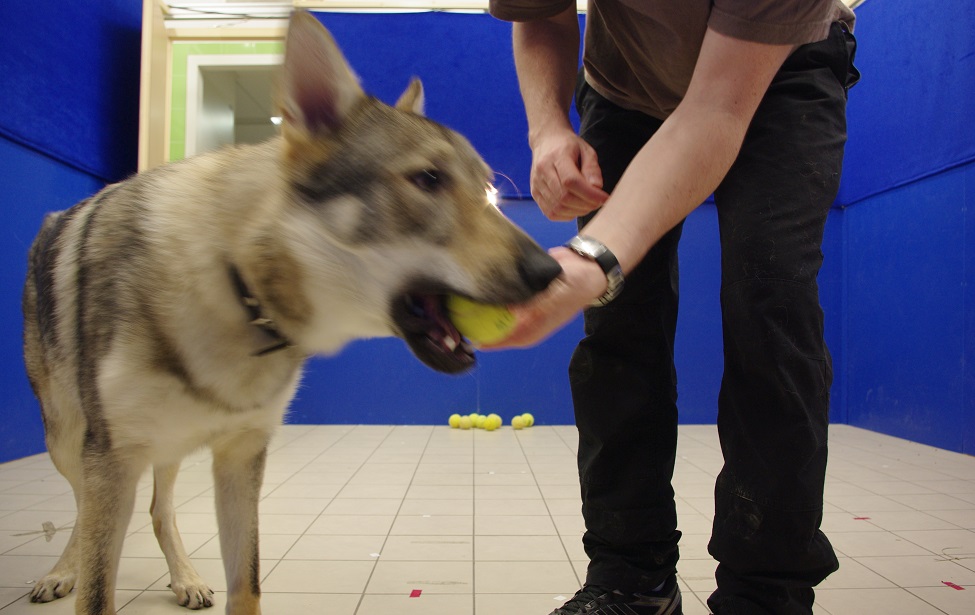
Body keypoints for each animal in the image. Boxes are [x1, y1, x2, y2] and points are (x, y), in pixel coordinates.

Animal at [21, 10, 556, 615]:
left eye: (488, 190)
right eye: (428, 180)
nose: (552, 272)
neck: (238, 289)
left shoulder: (241, 457)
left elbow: (246, 585)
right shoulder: (112, 461)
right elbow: (96, 588)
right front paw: (79, 576)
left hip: (165, 449)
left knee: (160, 510)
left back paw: (186, 577)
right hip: (69, 441)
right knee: (83, 510)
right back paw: (61, 571)